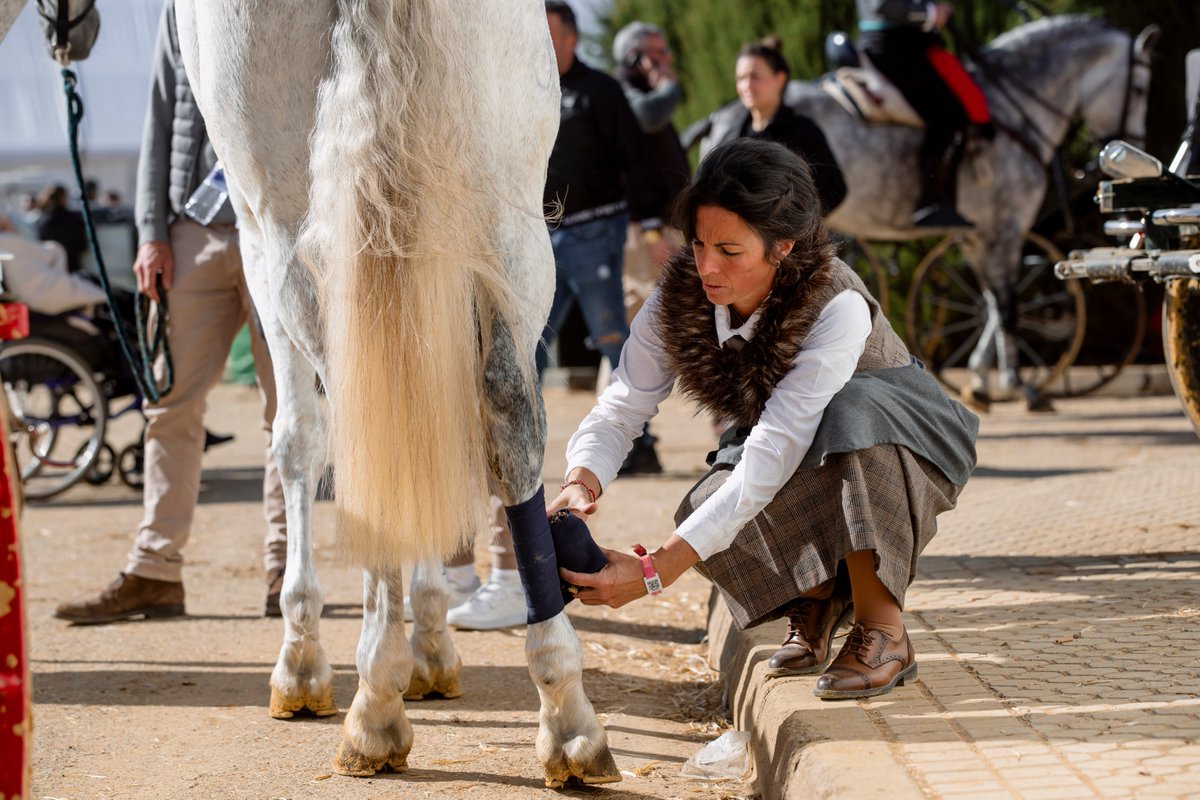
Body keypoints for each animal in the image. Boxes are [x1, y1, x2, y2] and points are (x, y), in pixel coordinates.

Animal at [787, 15, 1157, 408]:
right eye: (1140, 90)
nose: (1135, 146)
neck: (1013, 110)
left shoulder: (978, 234)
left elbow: (991, 304)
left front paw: (980, 379)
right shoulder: (1005, 228)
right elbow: (1006, 306)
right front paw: (1016, 383)